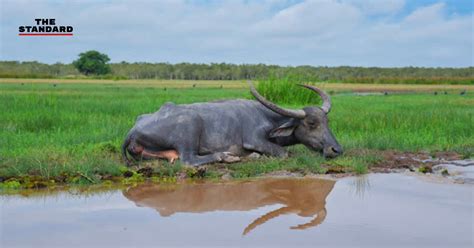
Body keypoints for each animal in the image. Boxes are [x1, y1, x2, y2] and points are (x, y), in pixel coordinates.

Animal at [122, 82, 340, 167]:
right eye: (311, 123)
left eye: (327, 121)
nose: (336, 149)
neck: (268, 117)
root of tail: (133, 130)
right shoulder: (254, 139)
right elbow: (285, 153)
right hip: (191, 124)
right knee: (188, 160)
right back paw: (227, 157)